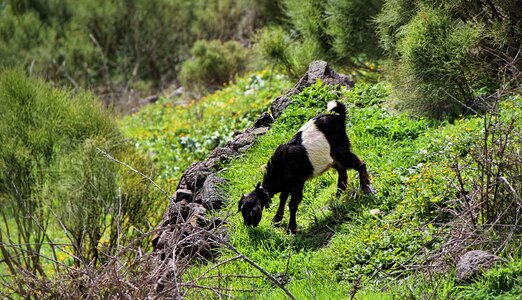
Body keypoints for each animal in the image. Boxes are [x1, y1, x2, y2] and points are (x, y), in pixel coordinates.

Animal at [238, 101, 372, 234]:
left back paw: (365, 188)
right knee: (342, 172)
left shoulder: (298, 183)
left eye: (249, 212)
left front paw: (291, 229)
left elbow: (292, 204)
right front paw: (276, 220)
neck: (281, 168)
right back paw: (337, 198)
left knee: (360, 164)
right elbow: (282, 199)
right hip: (334, 158)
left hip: (341, 150)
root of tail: (339, 117)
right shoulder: (287, 185)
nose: (248, 226)